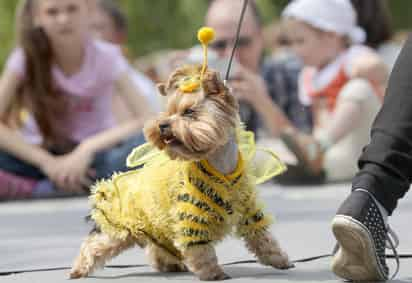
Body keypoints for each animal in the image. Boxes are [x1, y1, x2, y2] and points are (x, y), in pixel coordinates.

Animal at [69, 65, 292, 280]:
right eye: (168, 112)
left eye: (189, 112)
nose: (162, 125)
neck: (220, 164)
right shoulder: (192, 214)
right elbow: (200, 249)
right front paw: (213, 273)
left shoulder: (248, 210)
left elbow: (261, 237)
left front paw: (279, 259)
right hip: (120, 228)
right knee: (95, 244)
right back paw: (78, 270)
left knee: (156, 250)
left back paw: (171, 264)